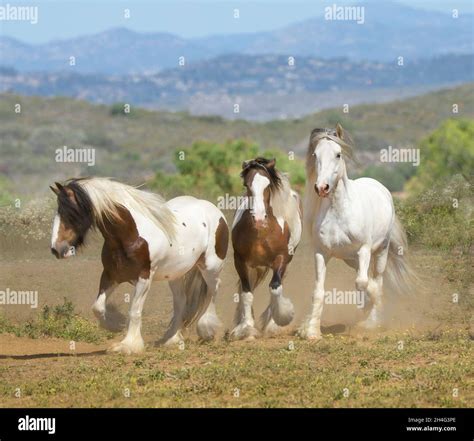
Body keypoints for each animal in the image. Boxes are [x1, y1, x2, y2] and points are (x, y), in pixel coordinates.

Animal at [51, 177, 229, 352]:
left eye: (72, 212)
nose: (56, 249)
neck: (131, 234)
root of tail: (214, 210)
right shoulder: (111, 275)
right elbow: (98, 307)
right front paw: (115, 325)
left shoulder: (144, 278)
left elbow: (134, 311)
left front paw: (128, 345)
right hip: (175, 275)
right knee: (181, 301)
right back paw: (171, 339)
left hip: (210, 268)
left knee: (213, 290)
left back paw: (207, 330)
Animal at [231, 156, 304, 338]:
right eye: (246, 185)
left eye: (268, 185)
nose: (258, 219)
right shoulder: (240, 260)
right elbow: (246, 292)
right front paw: (246, 328)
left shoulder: (281, 259)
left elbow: (275, 288)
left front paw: (279, 320)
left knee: (276, 286)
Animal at [300, 124, 414, 340]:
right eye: (315, 155)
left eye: (338, 154)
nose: (321, 188)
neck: (339, 213)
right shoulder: (321, 253)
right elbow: (318, 291)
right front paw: (311, 331)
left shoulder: (364, 249)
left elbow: (364, 283)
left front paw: (370, 316)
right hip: (350, 259)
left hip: (381, 251)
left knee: (376, 279)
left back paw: (372, 320)